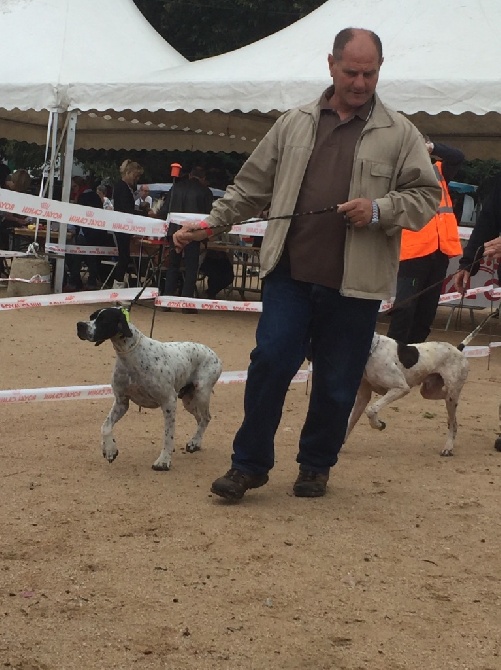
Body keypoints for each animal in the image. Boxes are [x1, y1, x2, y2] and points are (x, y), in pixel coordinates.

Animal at [76, 310, 221, 472]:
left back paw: (195, 442)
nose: (80, 325)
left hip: (201, 394)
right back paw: (195, 442)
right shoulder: (121, 402)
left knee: (206, 417)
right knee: (200, 419)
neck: (131, 356)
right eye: (91, 317)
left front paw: (163, 461)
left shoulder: (169, 402)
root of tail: (213, 353)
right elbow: (105, 427)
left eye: (103, 319)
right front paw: (110, 450)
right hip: (188, 400)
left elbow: (168, 435)